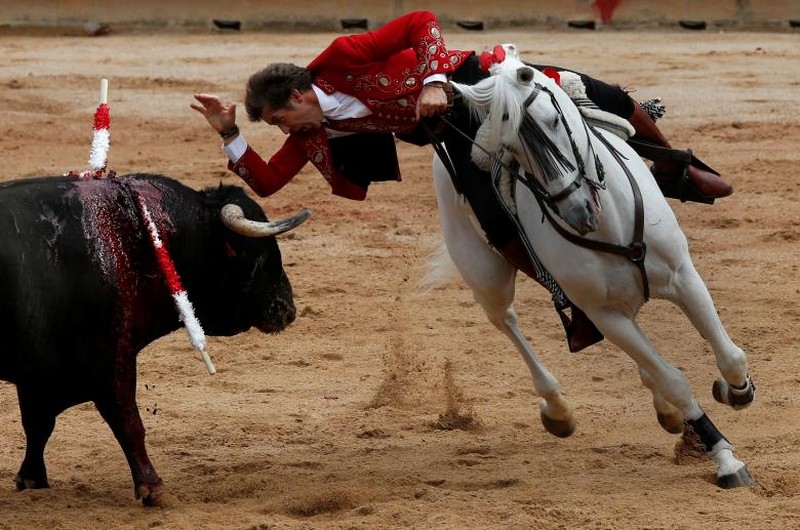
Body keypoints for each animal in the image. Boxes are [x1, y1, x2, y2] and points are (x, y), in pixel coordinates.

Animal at [0, 172, 306, 504]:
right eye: (258, 250)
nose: (287, 308)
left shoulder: (40, 373)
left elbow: (38, 424)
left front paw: (32, 478)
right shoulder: (112, 359)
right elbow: (128, 422)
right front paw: (152, 487)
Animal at [428, 45, 752, 486]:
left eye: (553, 120)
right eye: (508, 146)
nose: (577, 211)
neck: (609, 224)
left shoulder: (683, 276)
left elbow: (729, 356)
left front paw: (736, 390)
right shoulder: (605, 316)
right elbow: (674, 380)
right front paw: (725, 457)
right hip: (484, 274)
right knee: (506, 320)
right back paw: (558, 409)